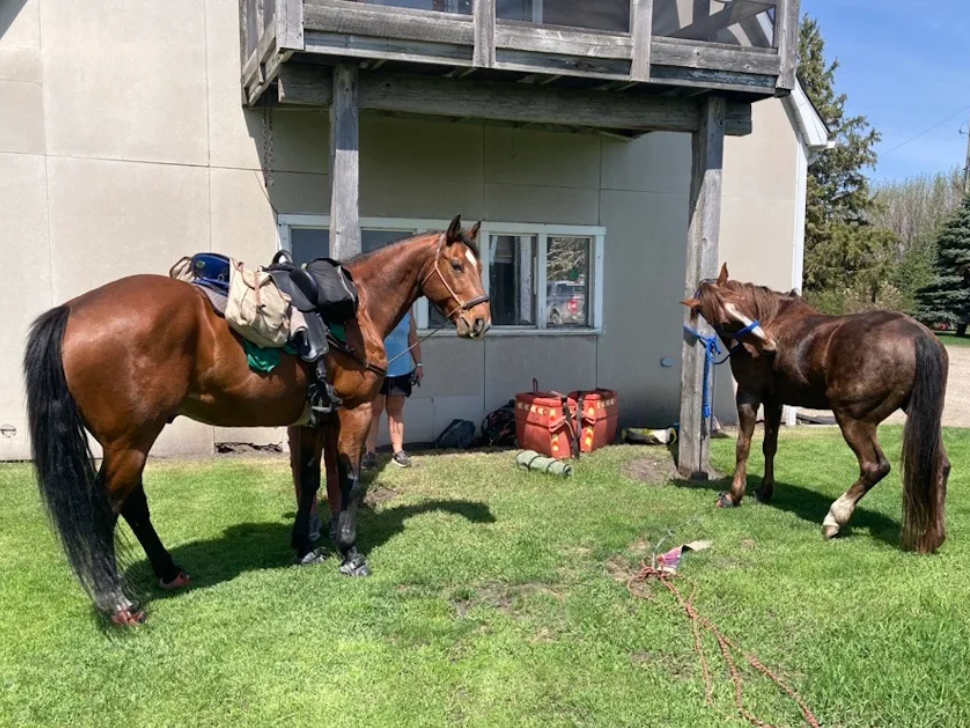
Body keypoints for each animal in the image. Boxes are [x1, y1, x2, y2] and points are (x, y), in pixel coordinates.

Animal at [24, 216, 491, 625]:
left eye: (479, 265)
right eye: (456, 265)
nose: (479, 321)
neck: (355, 308)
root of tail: (72, 310)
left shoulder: (310, 420)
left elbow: (309, 480)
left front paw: (306, 547)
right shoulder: (354, 412)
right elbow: (349, 478)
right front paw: (349, 552)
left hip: (128, 442)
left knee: (134, 505)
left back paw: (168, 572)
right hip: (131, 441)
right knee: (106, 509)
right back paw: (117, 602)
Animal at [682, 264, 949, 553]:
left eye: (742, 305)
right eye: (724, 320)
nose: (771, 347)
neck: (773, 318)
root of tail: (917, 335)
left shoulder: (748, 395)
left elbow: (743, 445)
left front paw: (733, 495)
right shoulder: (774, 400)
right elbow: (769, 446)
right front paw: (764, 491)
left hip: (854, 420)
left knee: (875, 467)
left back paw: (835, 518)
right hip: (922, 418)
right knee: (940, 467)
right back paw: (932, 538)